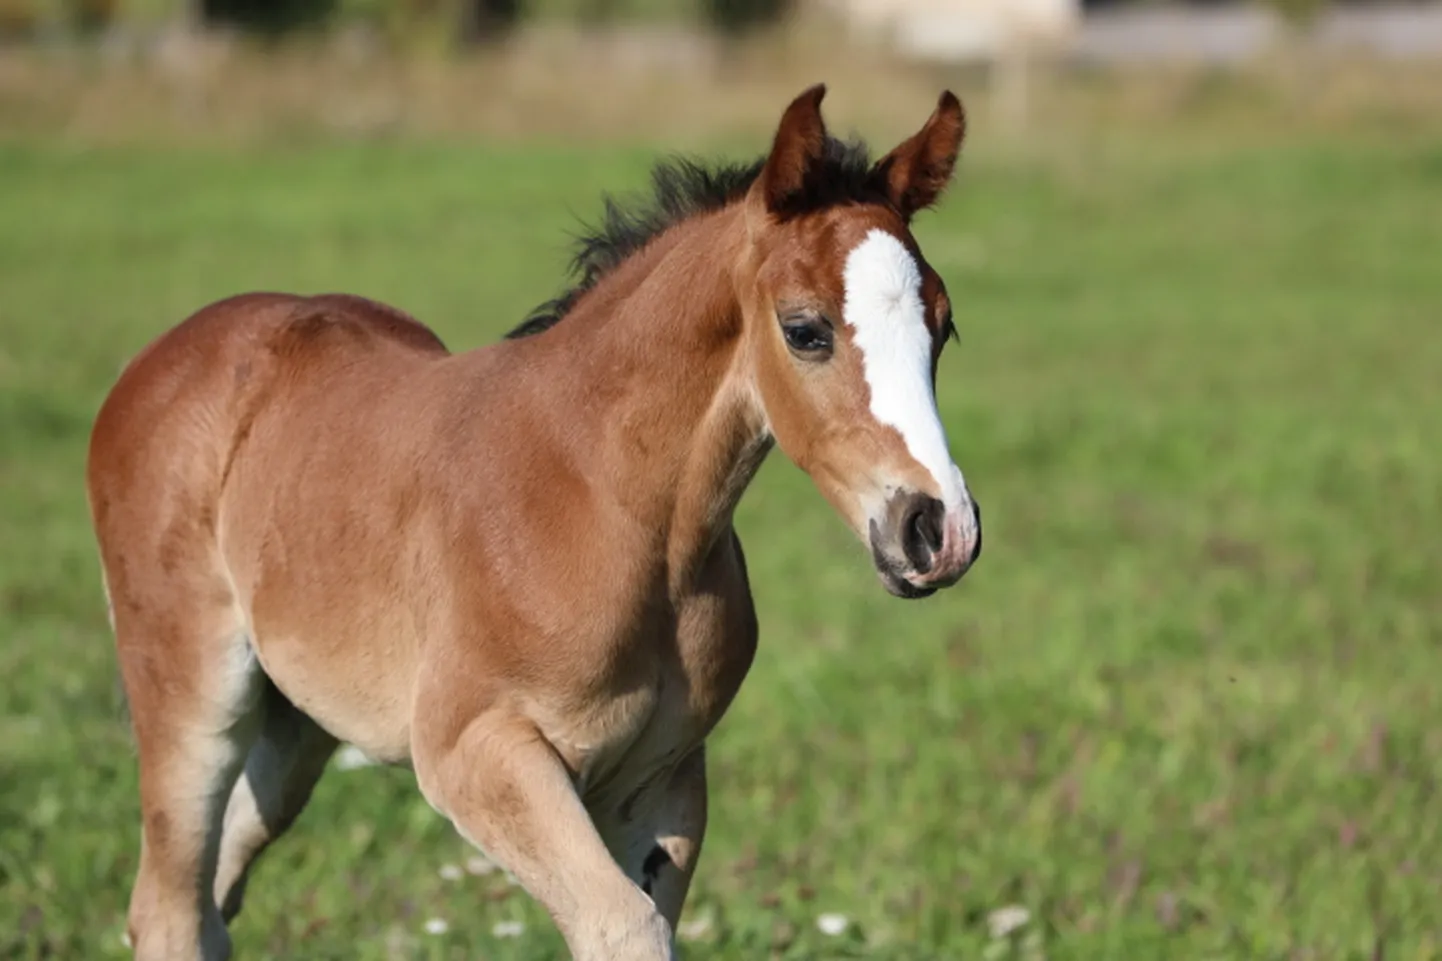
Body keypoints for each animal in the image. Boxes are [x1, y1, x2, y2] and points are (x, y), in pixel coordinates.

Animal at [90, 84, 980, 958]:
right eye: (804, 330)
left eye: (945, 326)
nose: (939, 530)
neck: (612, 505)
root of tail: (161, 357)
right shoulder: (474, 751)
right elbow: (624, 926)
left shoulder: (661, 780)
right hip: (194, 692)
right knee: (168, 905)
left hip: (296, 723)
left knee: (213, 893)